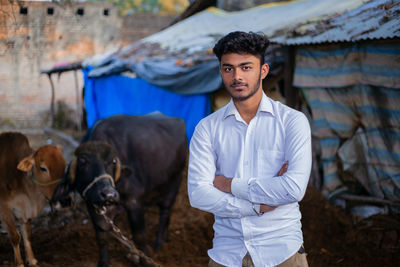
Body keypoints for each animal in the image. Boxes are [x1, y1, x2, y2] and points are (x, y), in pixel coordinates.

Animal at [0, 132, 65, 267]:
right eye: (43, 168)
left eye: (64, 166)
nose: (63, 199)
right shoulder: (4, 209)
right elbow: (15, 236)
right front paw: (19, 263)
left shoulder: (24, 212)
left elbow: (27, 235)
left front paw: (31, 259)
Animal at [51, 113, 188, 267]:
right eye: (82, 161)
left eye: (114, 162)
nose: (108, 195)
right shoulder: (92, 206)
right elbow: (101, 236)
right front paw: (103, 262)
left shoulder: (134, 202)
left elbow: (140, 236)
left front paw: (146, 259)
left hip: (175, 180)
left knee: (165, 211)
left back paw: (158, 244)